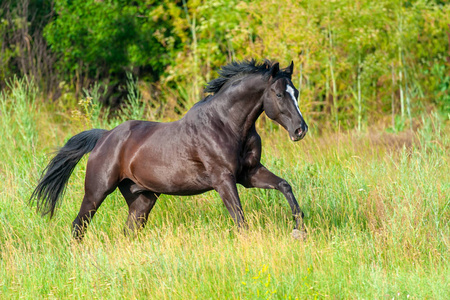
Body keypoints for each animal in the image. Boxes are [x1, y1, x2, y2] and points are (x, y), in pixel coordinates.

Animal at [29, 59, 310, 240]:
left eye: (295, 92)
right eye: (278, 94)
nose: (300, 130)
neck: (226, 124)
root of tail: (105, 137)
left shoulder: (249, 174)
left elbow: (284, 186)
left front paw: (300, 230)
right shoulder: (224, 179)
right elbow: (240, 219)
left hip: (142, 199)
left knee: (128, 231)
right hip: (97, 191)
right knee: (79, 226)